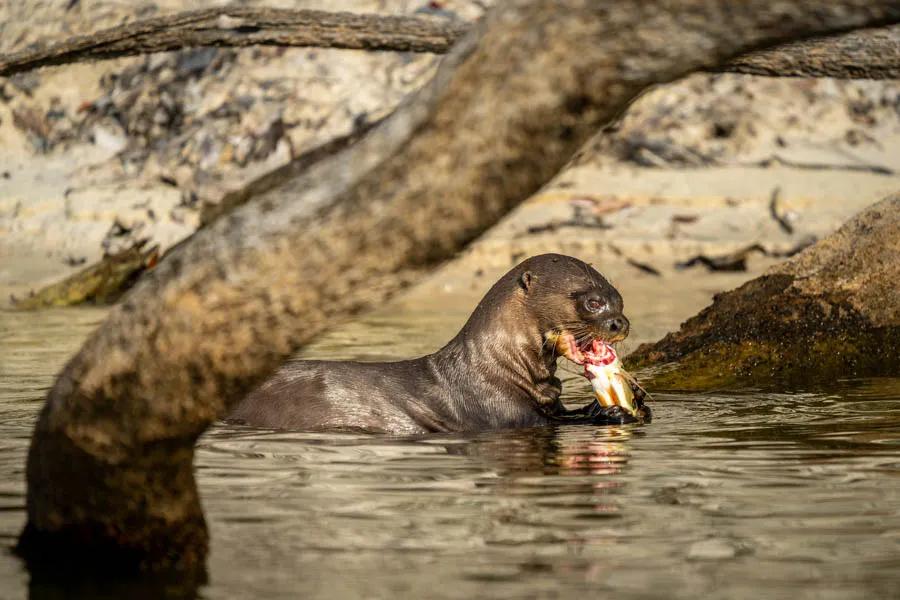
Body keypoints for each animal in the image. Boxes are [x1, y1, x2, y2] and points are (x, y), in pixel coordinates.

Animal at [229, 252, 652, 432]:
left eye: (619, 298)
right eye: (592, 302)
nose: (620, 322)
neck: (495, 367)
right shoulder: (497, 411)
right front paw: (610, 413)